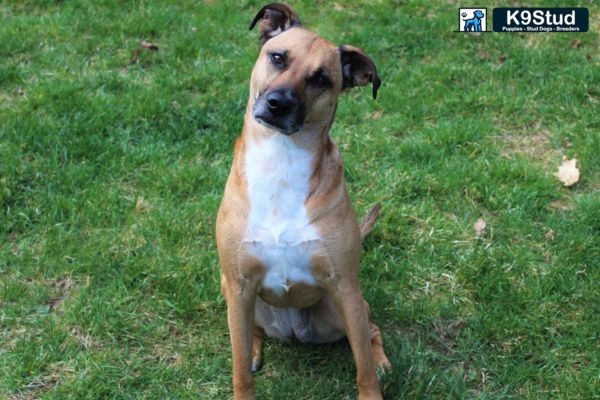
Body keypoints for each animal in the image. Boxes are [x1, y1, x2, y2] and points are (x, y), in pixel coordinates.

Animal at [218, 3, 392, 400]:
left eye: (321, 79)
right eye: (278, 57)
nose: (278, 104)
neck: (281, 161)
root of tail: (293, 331)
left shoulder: (345, 286)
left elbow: (362, 369)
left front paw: (372, 380)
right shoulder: (239, 285)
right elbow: (239, 370)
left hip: (343, 309)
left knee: (370, 332)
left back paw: (381, 361)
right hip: (234, 295)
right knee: (250, 333)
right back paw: (254, 348)